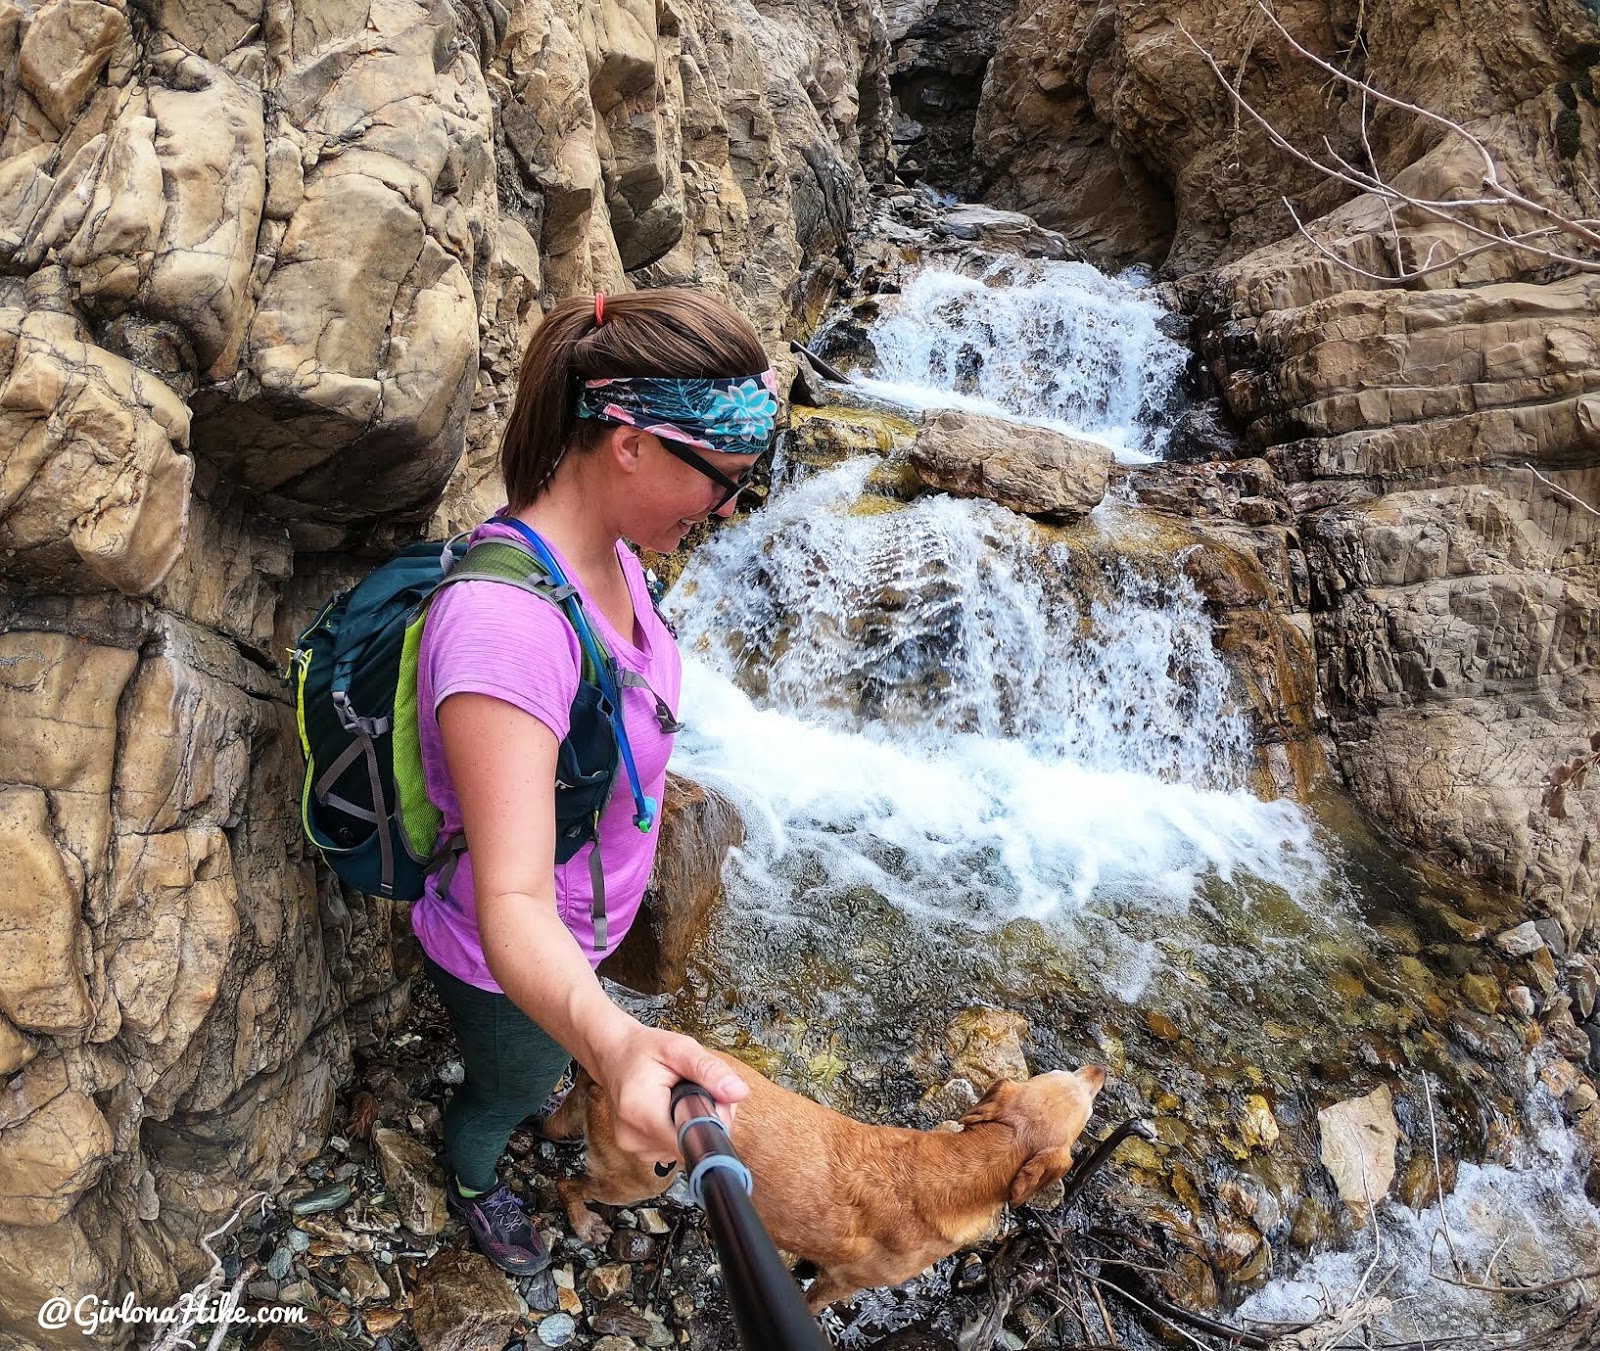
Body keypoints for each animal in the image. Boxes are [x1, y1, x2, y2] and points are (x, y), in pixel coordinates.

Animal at [537, 1056, 1100, 1306]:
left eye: (1065, 1074)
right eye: (1083, 1095)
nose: (1099, 1069)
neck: (961, 1165)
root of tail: (602, 1065)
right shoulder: (841, 1282)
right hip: (639, 1180)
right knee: (567, 1184)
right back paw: (583, 1223)